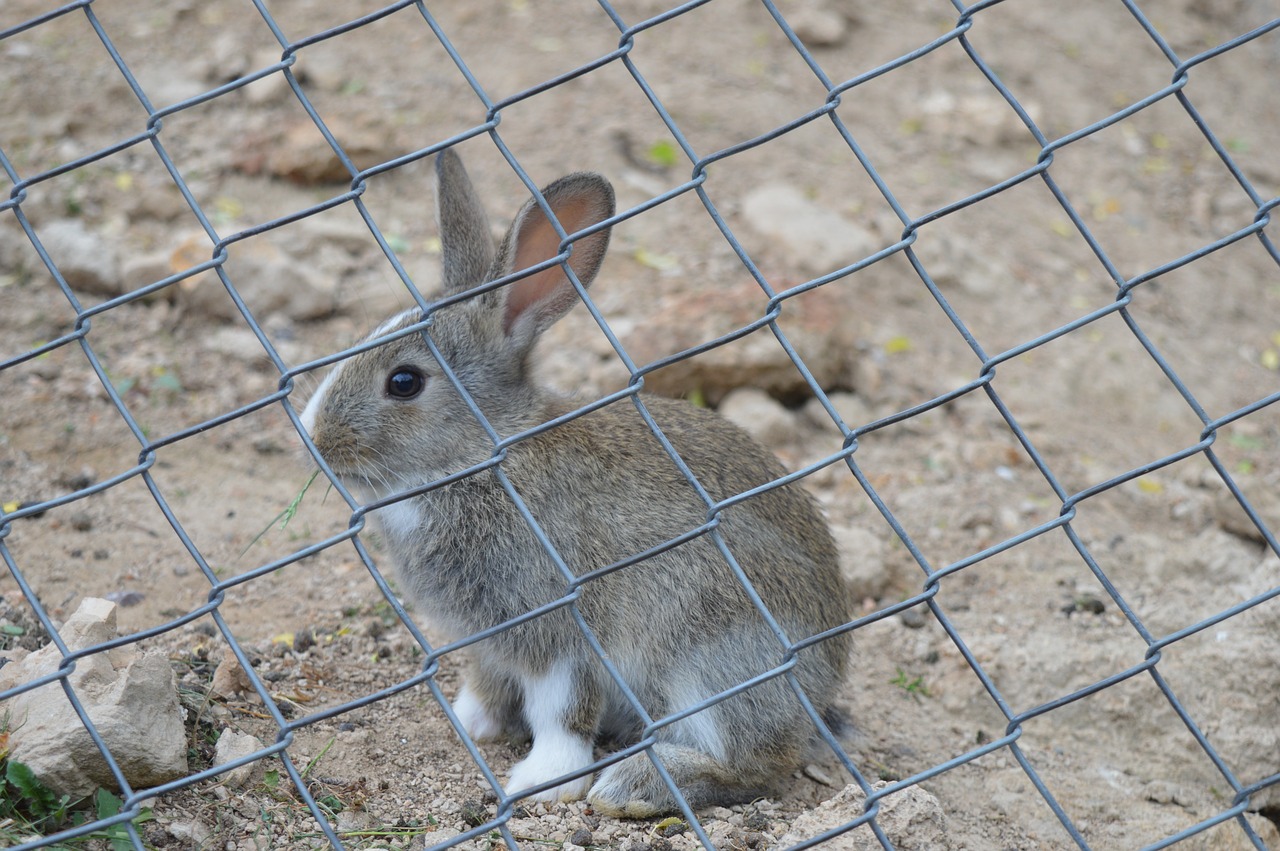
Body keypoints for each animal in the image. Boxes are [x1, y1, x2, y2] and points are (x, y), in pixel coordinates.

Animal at [300, 147, 855, 819]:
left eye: (404, 382)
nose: (313, 434)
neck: (481, 457)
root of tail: (821, 684)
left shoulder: (559, 628)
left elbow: (561, 712)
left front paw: (542, 780)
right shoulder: (489, 642)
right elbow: (489, 683)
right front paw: (474, 723)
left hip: (711, 656)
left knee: (759, 765)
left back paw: (634, 785)